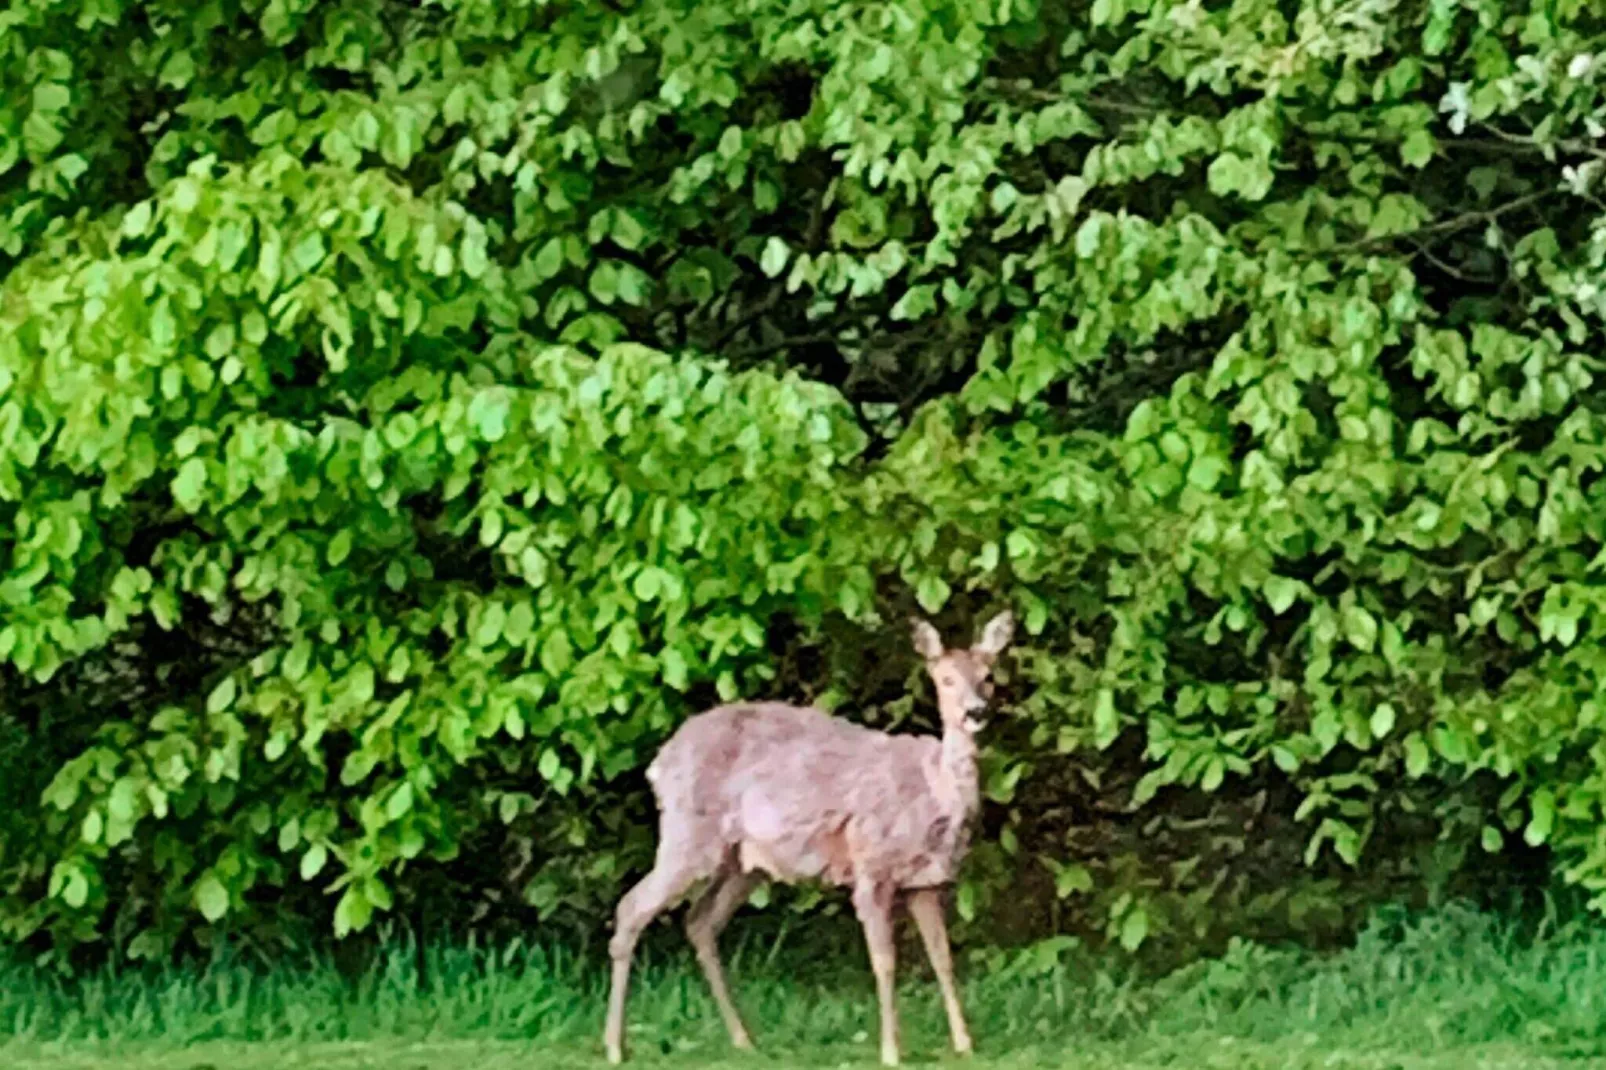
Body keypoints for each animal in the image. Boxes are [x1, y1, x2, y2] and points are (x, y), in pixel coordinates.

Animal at [603, 604, 1014, 1060]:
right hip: (688, 834)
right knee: (632, 907)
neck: (934, 793)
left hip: (743, 862)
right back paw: (615, 1046)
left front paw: (964, 1044)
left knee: (699, 922)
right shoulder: (871, 867)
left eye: (989, 675)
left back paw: (743, 1039)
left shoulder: (925, 882)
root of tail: (659, 763)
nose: (975, 712)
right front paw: (891, 1051)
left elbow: (942, 958)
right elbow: (885, 961)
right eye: (945, 679)